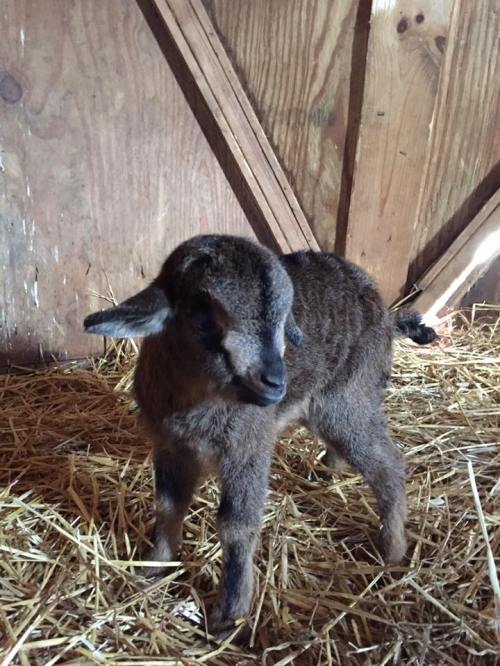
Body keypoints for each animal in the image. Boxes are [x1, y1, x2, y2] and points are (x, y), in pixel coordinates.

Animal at [84, 234, 437, 636]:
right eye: (202, 320)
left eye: (284, 321)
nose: (275, 382)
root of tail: (385, 313)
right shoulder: (171, 445)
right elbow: (168, 505)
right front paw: (154, 566)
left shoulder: (247, 446)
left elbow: (236, 525)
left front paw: (230, 613)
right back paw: (330, 472)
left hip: (349, 397)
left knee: (388, 464)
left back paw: (392, 550)